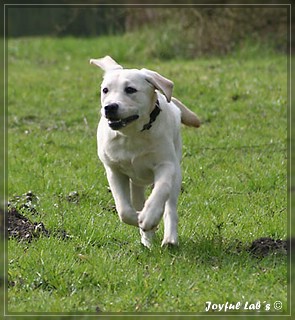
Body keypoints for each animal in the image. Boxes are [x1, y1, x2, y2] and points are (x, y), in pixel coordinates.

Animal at [90, 55, 201, 248]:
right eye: (105, 90)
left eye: (130, 89)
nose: (109, 107)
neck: (132, 135)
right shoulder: (113, 170)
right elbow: (123, 210)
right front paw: (139, 219)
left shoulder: (166, 165)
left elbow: (161, 190)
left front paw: (149, 217)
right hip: (136, 182)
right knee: (137, 199)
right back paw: (147, 239)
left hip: (176, 173)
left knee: (170, 206)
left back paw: (169, 238)